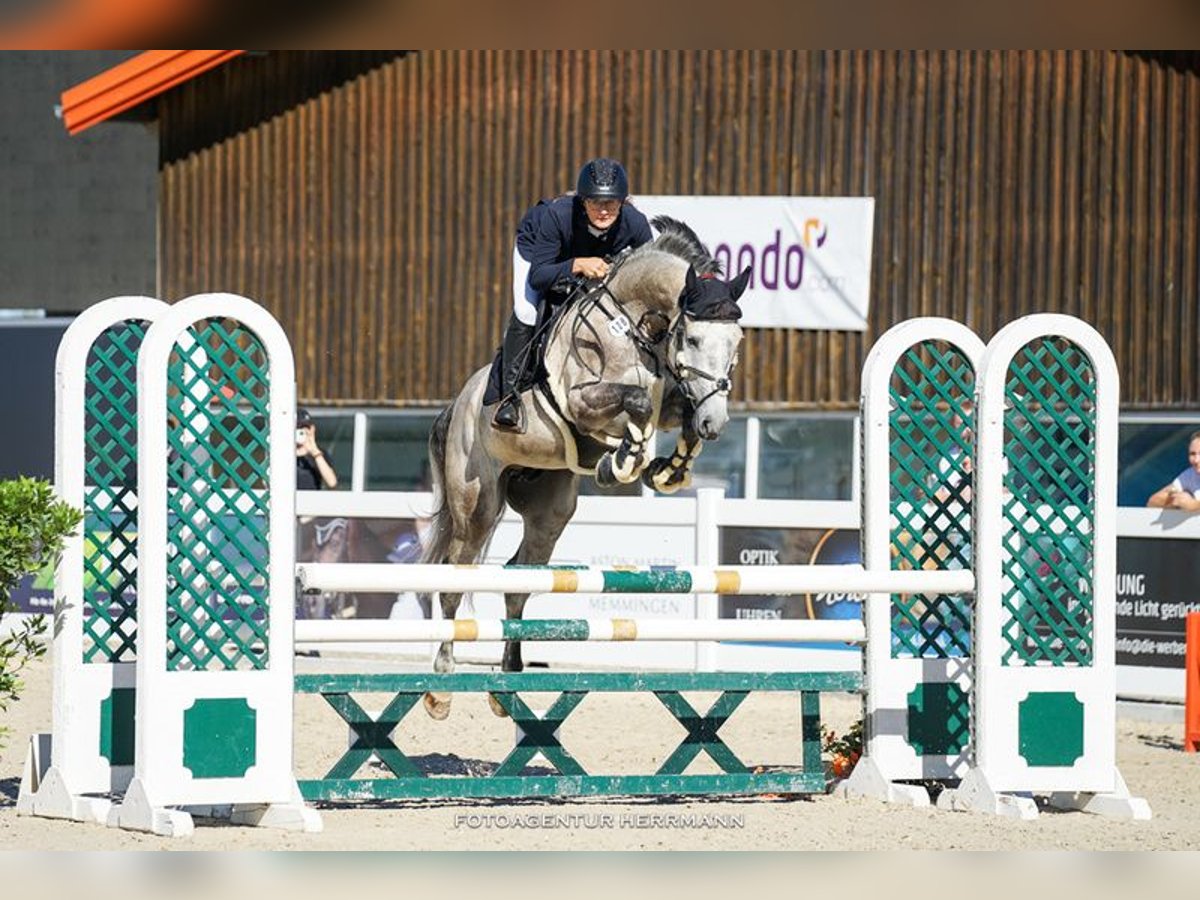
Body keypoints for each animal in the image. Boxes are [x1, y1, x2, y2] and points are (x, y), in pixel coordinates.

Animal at [417, 218, 744, 720]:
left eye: (736, 343)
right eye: (692, 339)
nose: (718, 423)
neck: (634, 325)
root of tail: (458, 404)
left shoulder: (672, 399)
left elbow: (675, 415)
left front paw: (668, 468)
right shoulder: (582, 403)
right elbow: (634, 403)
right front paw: (624, 461)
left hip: (549, 509)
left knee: (518, 581)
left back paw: (507, 683)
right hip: (477, 502)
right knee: (457, 578)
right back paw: (441, 689)